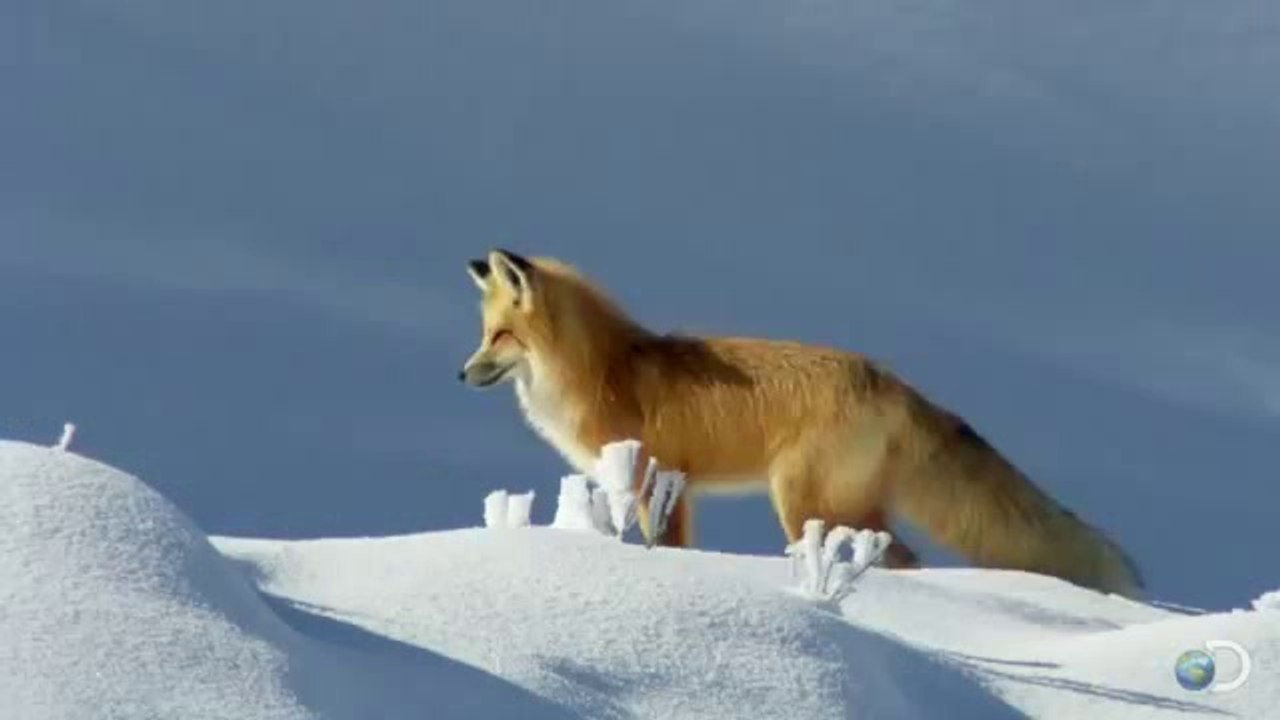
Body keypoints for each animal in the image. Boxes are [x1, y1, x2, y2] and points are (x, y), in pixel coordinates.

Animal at [458, 248, 1144, 598]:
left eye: (499, 336)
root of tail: (890, 379)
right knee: (903, 557)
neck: (601, 368)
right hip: (849, 505)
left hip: (800, 499)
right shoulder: (679, 485)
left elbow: (662, 547)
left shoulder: (656, 475)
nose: (461, 375)